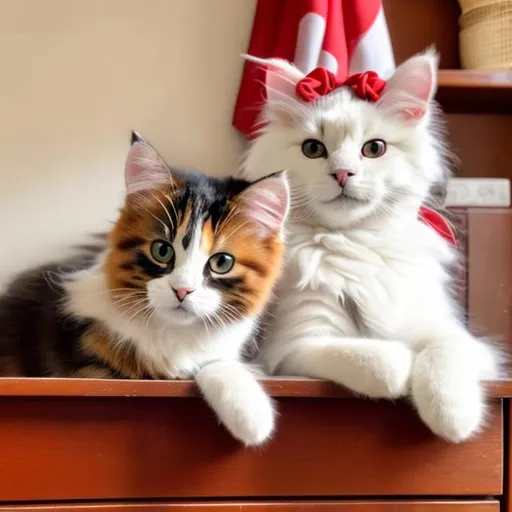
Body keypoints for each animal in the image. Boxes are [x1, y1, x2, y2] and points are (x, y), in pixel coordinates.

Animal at [0, 132, 288, 444]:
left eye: (221, 262)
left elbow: (215, 363)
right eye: (161, 250)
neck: (172, 335)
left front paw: (251, 415)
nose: (182, 291)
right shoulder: (87, 363)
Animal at [240, 50, 500, 442]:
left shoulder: (457, 336)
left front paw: (453, 420)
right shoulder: (297, 344)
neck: (354, 240)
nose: (342, 173)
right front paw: (401, 367)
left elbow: (443, 356)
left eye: (374, 149)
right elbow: (379, 360)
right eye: (313, 149)